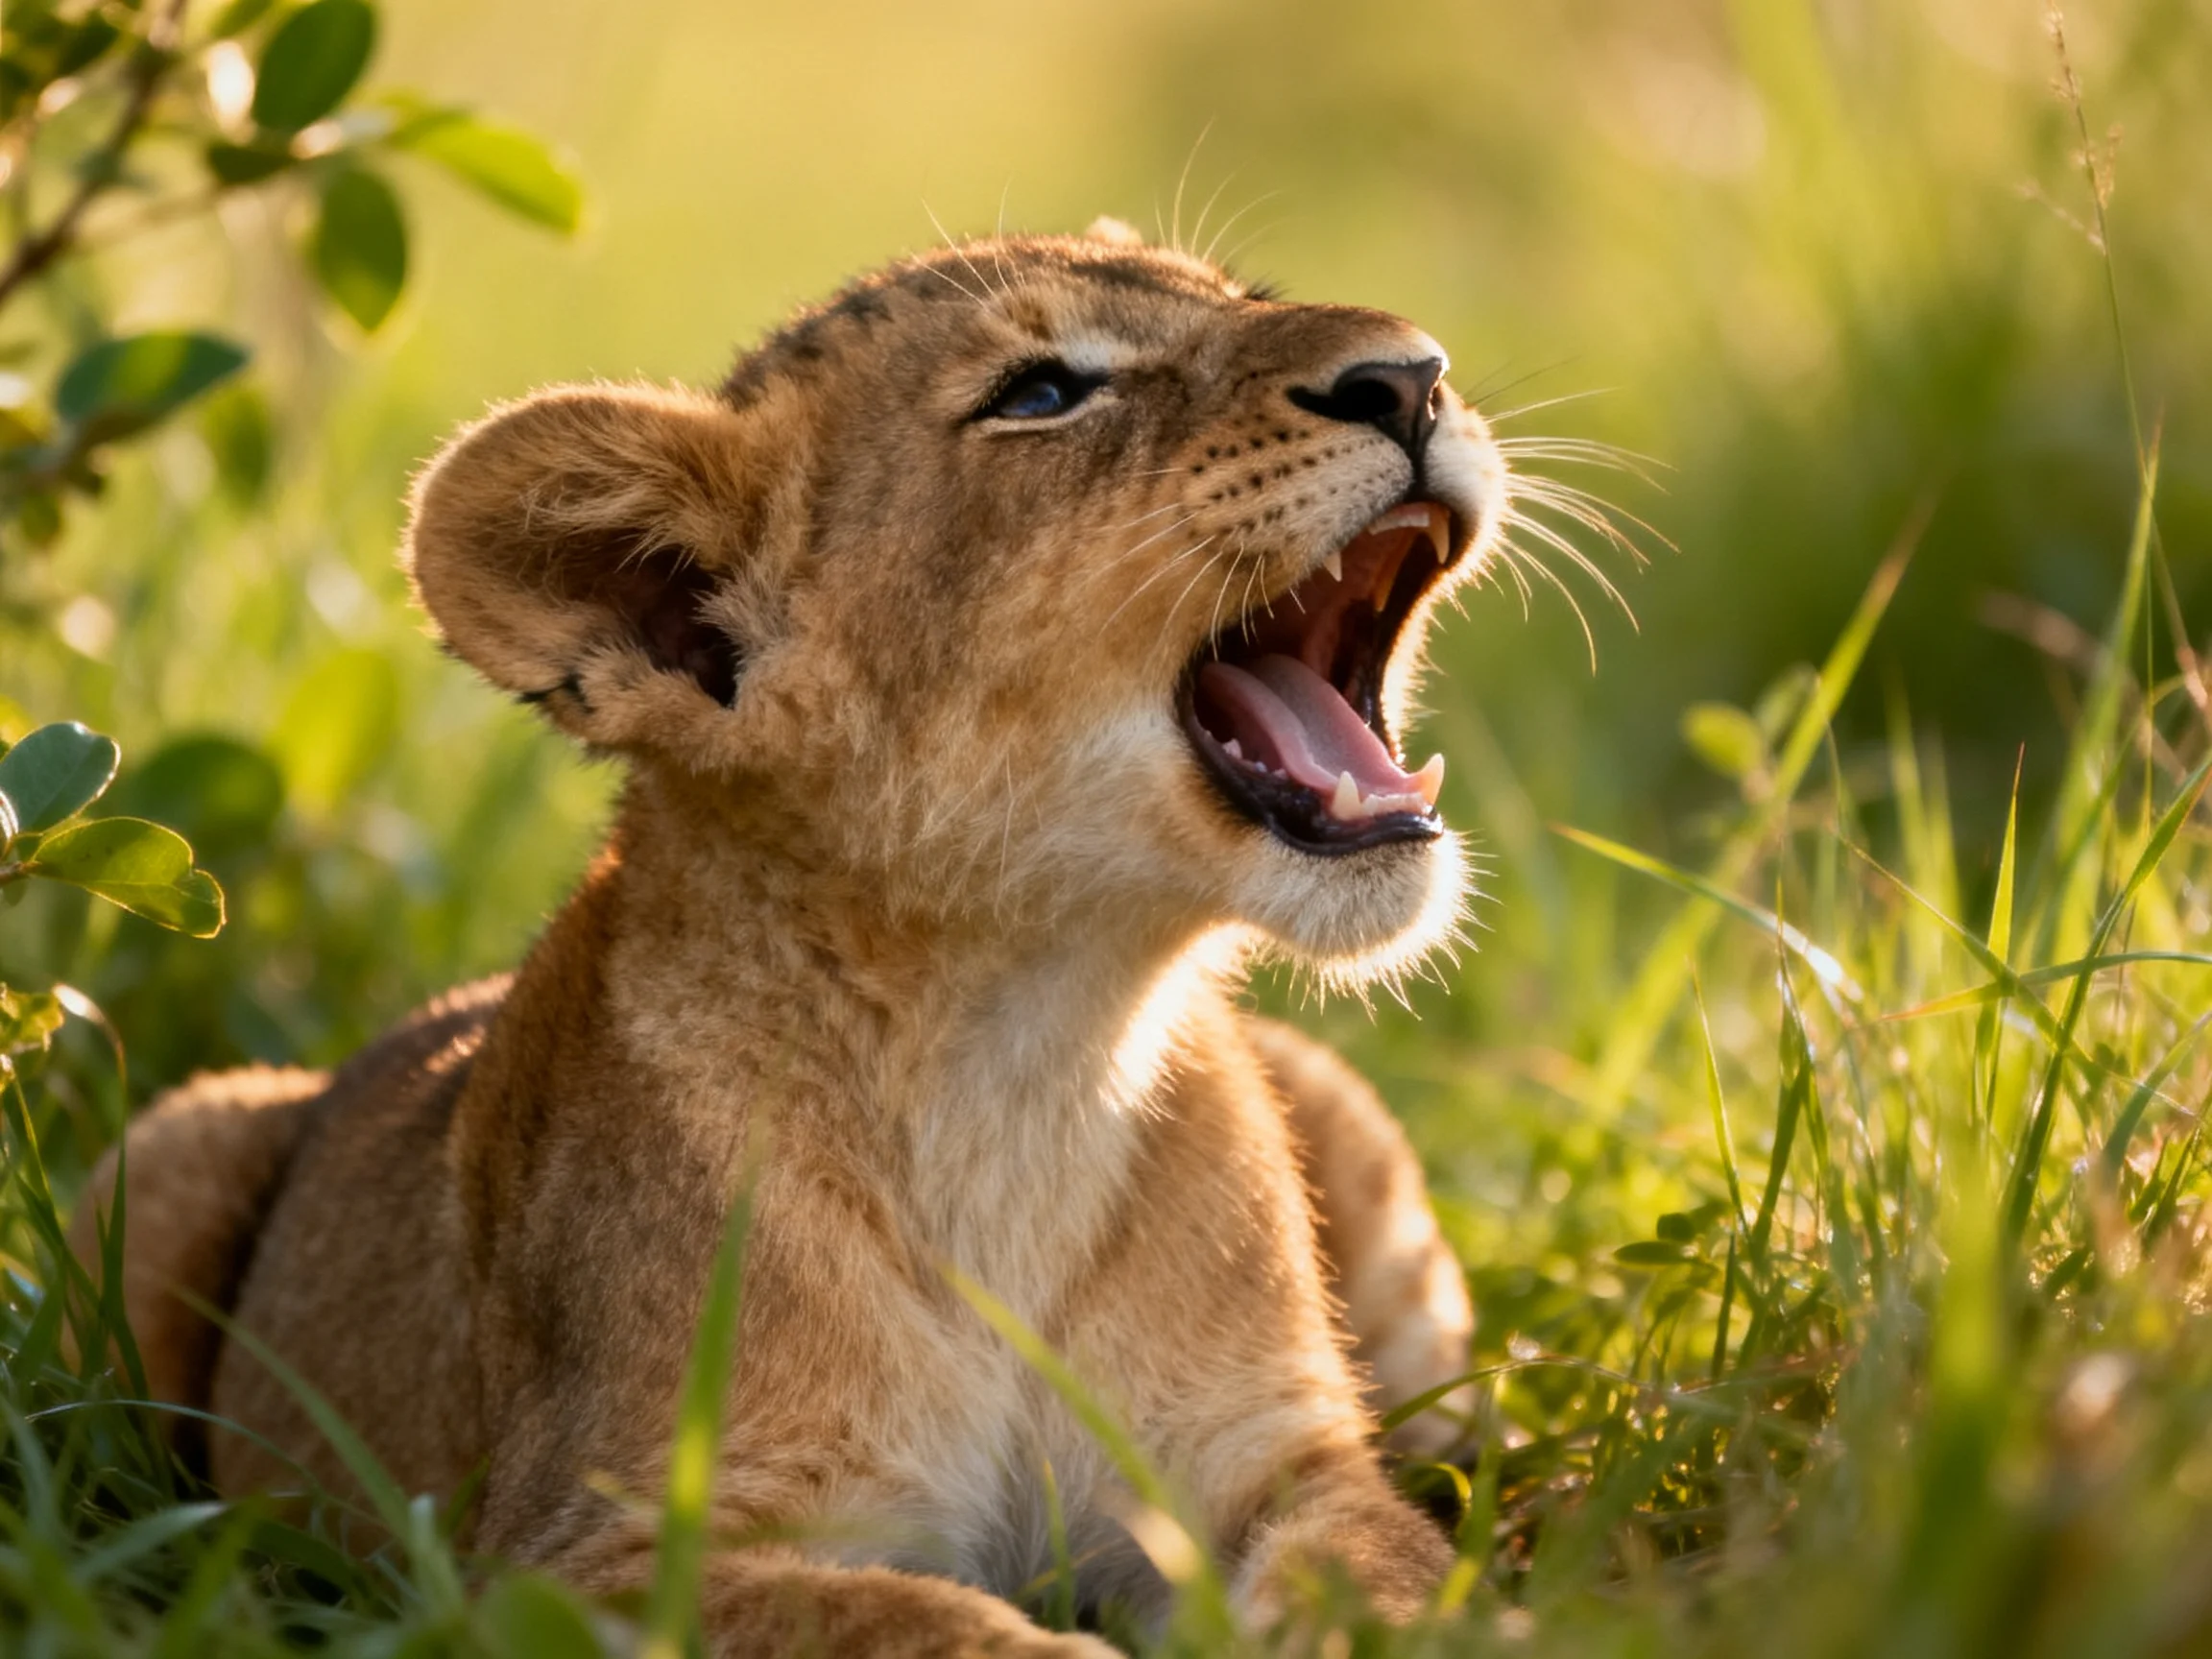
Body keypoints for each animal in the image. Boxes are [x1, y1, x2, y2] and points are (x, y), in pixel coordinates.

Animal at [71, 220, 1508, 1654]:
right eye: (1042, 392)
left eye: (1242, 301)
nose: (1415, 377)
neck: (1029, 1048)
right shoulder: (587, 1559)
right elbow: (939, 1630)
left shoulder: (1275, 1467)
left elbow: (1386, 1582)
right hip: (166, 1155)